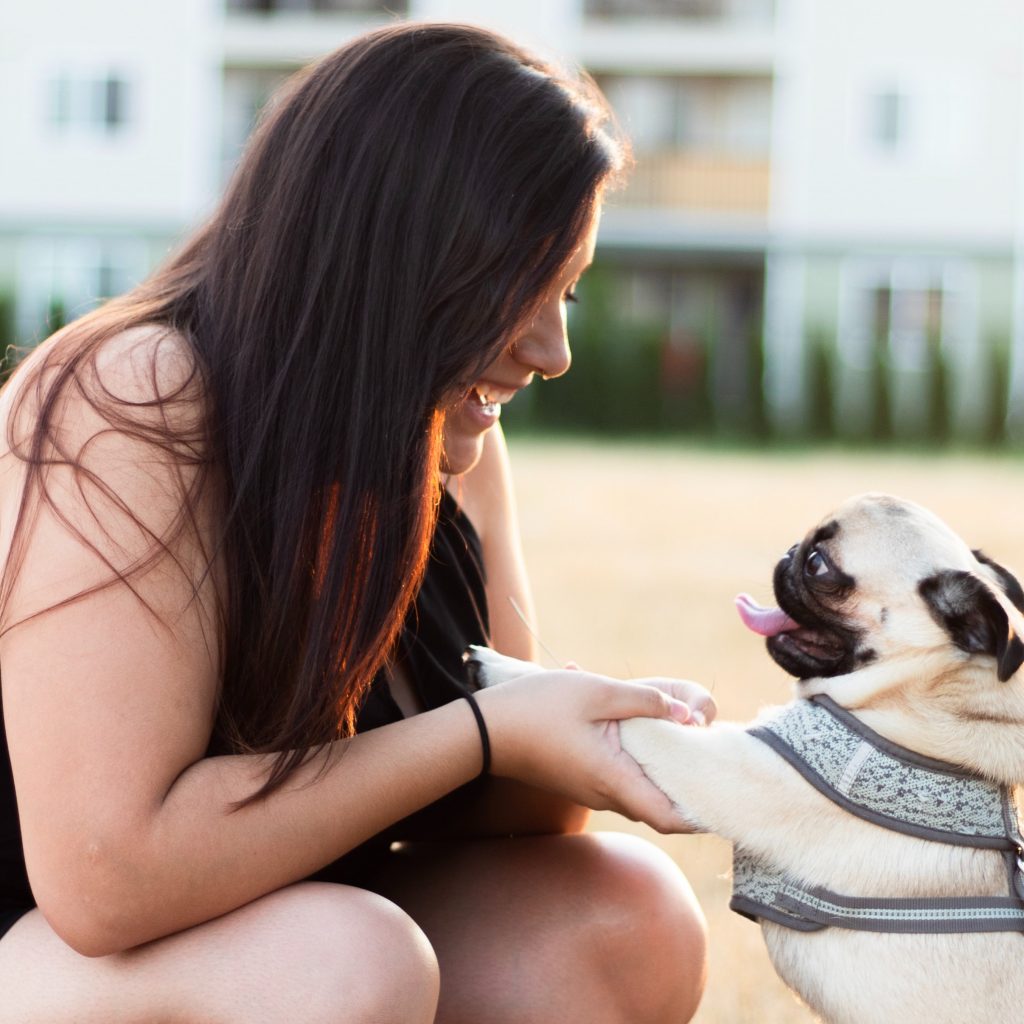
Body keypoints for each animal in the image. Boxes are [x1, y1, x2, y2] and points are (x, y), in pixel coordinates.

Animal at [468, 491, 1024, 1019]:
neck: (922, 688)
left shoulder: (720, 764)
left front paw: (507, 673)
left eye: (818, 565)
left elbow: (640, 722)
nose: (789, 553)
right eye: (804, 551)